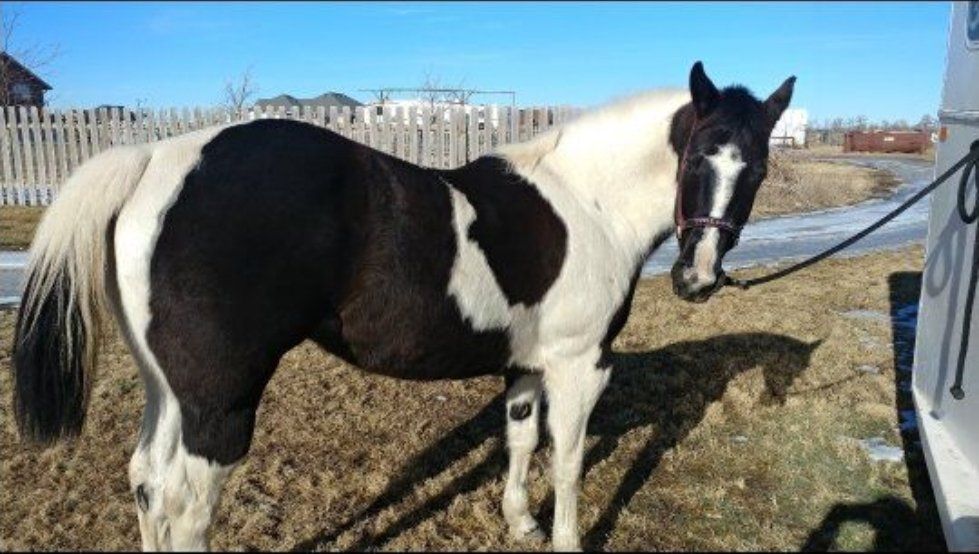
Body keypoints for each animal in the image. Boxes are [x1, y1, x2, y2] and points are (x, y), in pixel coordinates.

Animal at [11, 61, 794, 551]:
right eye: (696, 158)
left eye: (756, 167)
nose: (698, 279)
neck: (586, 201)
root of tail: (154, 160)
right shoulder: (581, 365)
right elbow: (567, 460)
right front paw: (566, 538)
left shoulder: (527, 365)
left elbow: (519, 443)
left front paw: (520, 524)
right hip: (220, 402)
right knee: (184, 504)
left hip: (168, 388)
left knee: (145, 481)